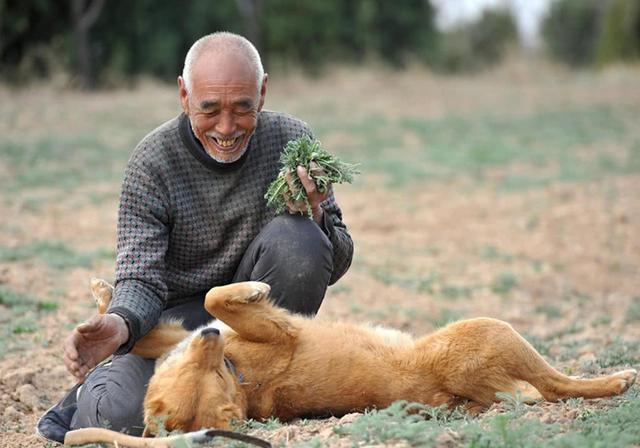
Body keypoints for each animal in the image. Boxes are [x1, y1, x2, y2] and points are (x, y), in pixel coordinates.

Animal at [89, 278, 636, 436]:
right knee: (554, 386)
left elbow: (147, 331)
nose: (208, 343)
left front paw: (101, 304)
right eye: (210, 375)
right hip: (491, 330)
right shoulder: (275, 330)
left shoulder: (180, 334)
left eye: (196, 368)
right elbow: (218, 299)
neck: (237, 370)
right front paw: (253, 287)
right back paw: (618, 380)